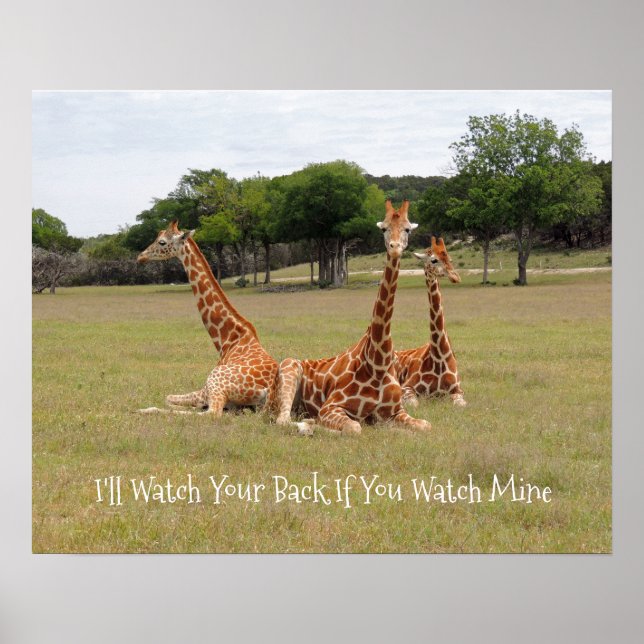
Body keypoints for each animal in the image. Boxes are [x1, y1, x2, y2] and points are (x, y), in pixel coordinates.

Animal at [136, 220, 278, 416]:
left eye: (162, 242)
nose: (140, 257)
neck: (228, 340)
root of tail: (268, 391)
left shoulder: (205, 390)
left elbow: (168, 398)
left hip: (215, 382)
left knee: (211, 413)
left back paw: (146, 409)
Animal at [272, 200, 431, 435]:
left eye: (407, 229)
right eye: (384, 228)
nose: (394, 248)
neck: (377, 362)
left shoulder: (395, 411)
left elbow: (425, 425)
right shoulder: (331, 406)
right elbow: (354, 427)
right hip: (289, 368)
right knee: (282, 420)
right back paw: (309, 425)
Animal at [395, 236, 466, 408]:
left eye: (450, 258)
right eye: (434, 260)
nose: (456, 277)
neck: (439, 356)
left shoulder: (458, 390)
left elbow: (459, 405)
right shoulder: (406, 387)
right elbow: (414, 404)